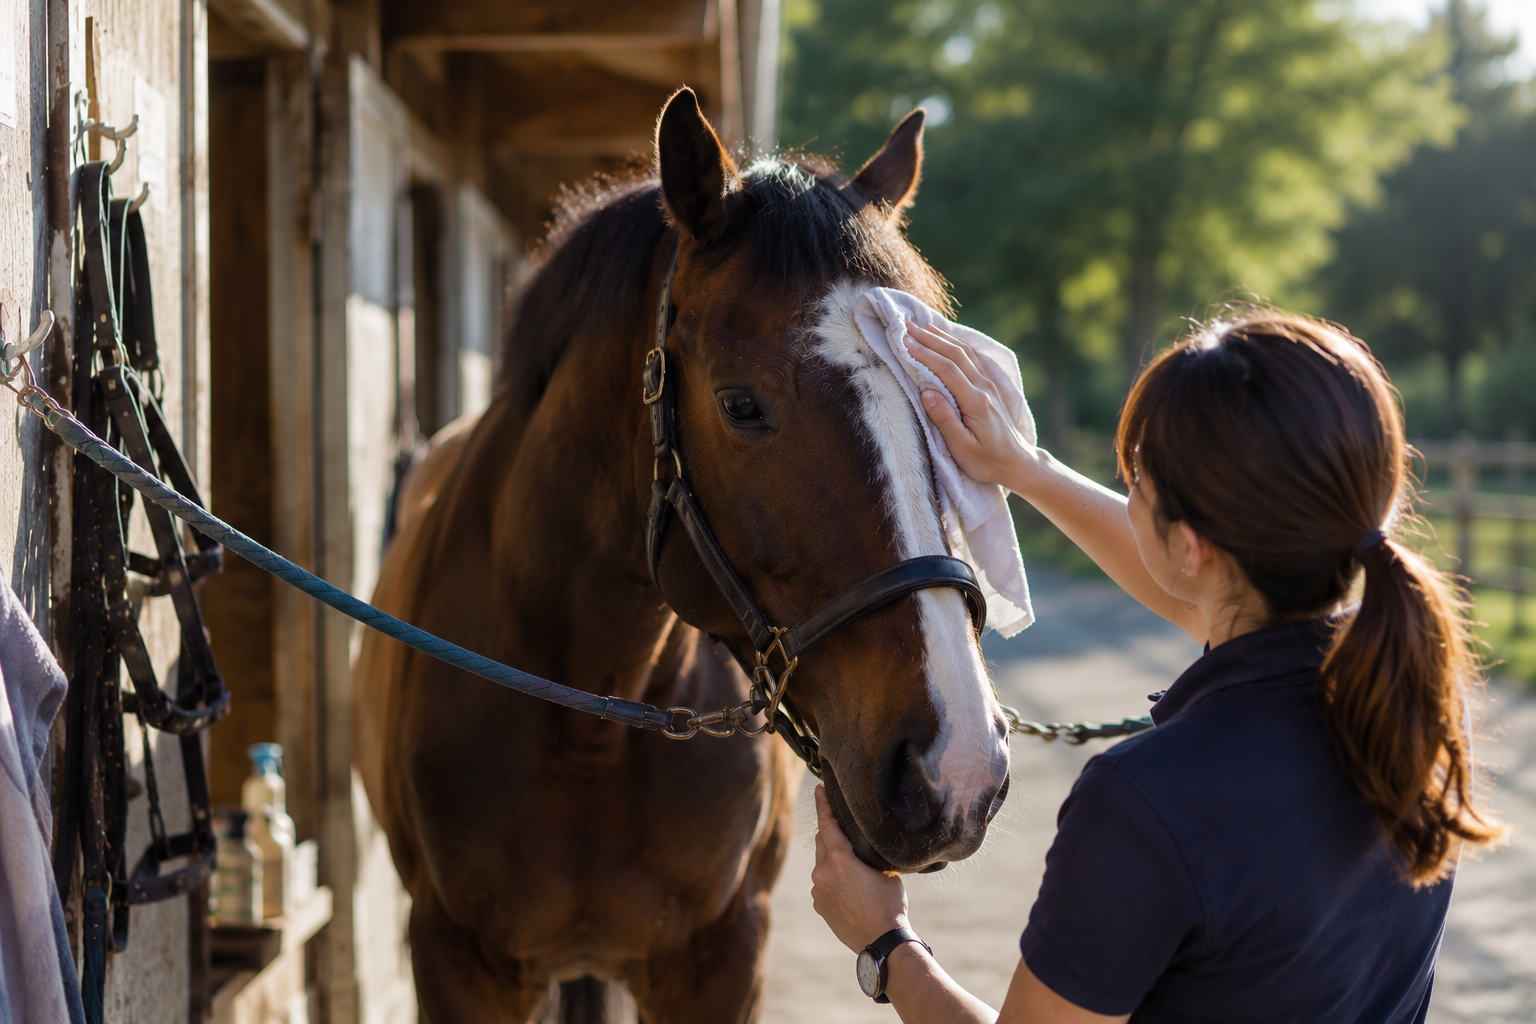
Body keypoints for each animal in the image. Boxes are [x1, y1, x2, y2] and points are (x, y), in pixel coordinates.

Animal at [353, 87, 1012, 1024]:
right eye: (741, 405)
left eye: (947, 402)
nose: (955, 768)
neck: (589, 719)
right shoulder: (455, 959)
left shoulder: (722, 956)